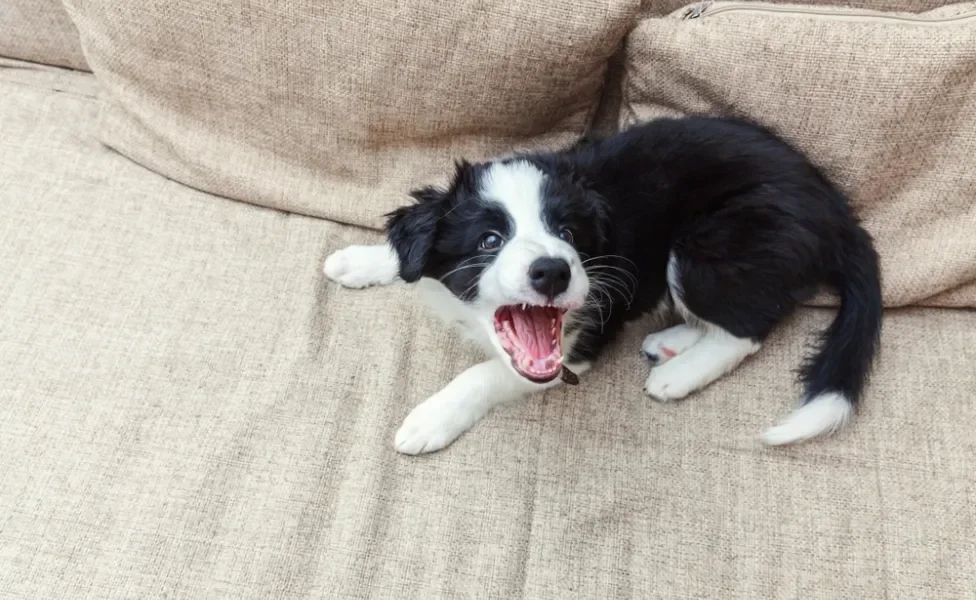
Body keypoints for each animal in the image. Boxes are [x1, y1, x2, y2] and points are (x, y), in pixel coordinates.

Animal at [324, 117, 880, 454]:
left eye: (568, 233)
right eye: (489, 240)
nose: (553, 270)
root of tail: (837, 212)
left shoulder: (584, 336)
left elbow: (484, 374)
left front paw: (428, 419)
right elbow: (406, 255)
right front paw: (359, 260)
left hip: (710, 246)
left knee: (748, 327)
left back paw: (678, 373)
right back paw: (672, 342)